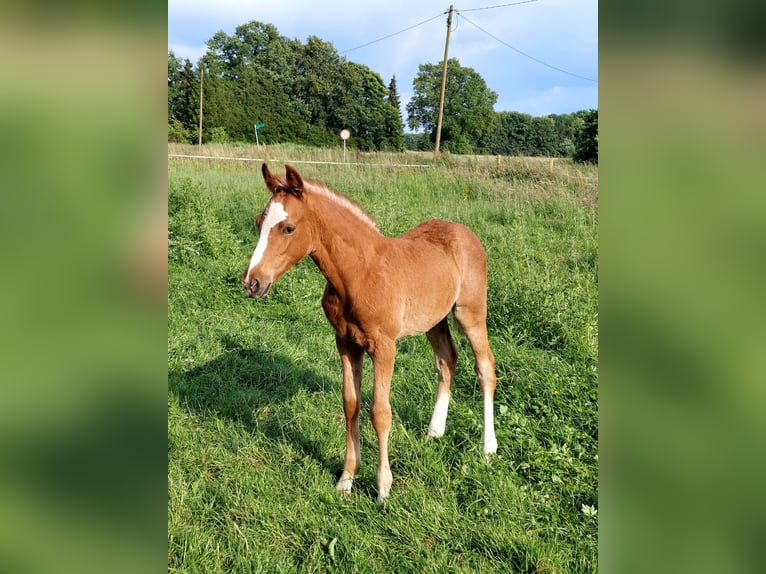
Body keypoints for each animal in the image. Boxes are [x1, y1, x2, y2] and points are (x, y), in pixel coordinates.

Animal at [243, 163, 500, 504]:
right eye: (259, 222)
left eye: (288, 228)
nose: (252, 282)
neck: (358, 274)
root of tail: (463, 231)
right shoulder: (345, 342)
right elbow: (350, 404)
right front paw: (346, 479)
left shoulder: (384, 346)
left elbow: (380, 411)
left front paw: (383, 487)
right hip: (434, 319)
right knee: (447, 359)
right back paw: (435, 431)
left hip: (470, 313)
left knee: (485, 367)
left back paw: (488, 447)